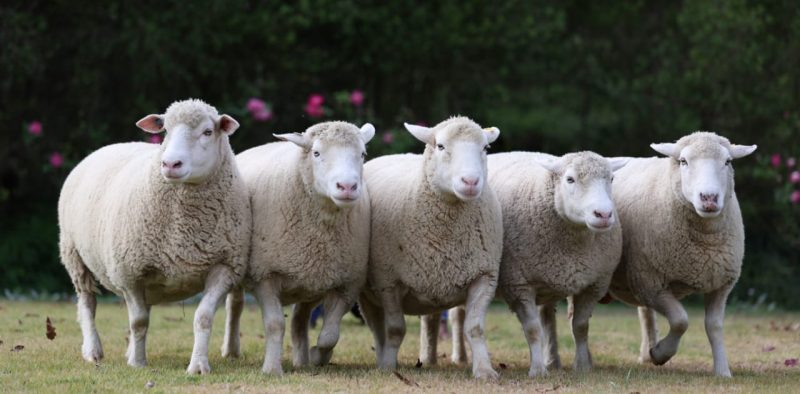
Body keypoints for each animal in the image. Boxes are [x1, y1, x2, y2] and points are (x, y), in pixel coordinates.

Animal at [58, 97, 250, 374]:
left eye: (207, 131)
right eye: (165, 130)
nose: (170, 164)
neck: (183, 229)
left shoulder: (224, 267)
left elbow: (202, 318)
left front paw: (198, 365)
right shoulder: (130, 273)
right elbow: (138, 321)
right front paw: (137, 363)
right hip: (74, 255)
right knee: (87, 302)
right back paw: (93, 351)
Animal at [220, 121, 376, 376]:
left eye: (362, 154)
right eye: (316, 153)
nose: (347, 186)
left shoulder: (347, 283)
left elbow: (330, 335)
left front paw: (318, 355)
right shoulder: (265, 275)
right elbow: (275, 324)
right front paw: (271, 369)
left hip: (310, 280)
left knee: (299, 319)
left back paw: (302, 358)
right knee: (234, 305)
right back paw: (231, 350)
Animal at [360, 116, 504, 378]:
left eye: (485, 148)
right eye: (440, 146)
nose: (470, 182)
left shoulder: (484, 276)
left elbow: (475, 328)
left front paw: (484, 370)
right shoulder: (388, 282)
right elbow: (395, 328)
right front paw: (388, 367)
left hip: (434, 281)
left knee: (431, 320)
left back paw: (428, 359)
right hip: (369, 292)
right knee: (377, 327)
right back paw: (384, 359)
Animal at [424, 150, 632, 376]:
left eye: (611, 179)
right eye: (570, 179)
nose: (603, 214)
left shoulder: (593, 285)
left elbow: (580, 326)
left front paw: (583, 366)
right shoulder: (519, 285)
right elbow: (533, 329)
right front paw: (538, 370)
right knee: (443, 316)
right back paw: (435, 357)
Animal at [608, 132, 756, 376]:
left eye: (727, 162)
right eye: (683, 161)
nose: (709, 198)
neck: (705, 245)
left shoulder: (721, 284)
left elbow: (714, 326)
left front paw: (722, 371)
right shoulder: (652, 285)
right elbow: (680, 321)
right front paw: (661, 353)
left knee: (645, 314)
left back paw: (645, 352)